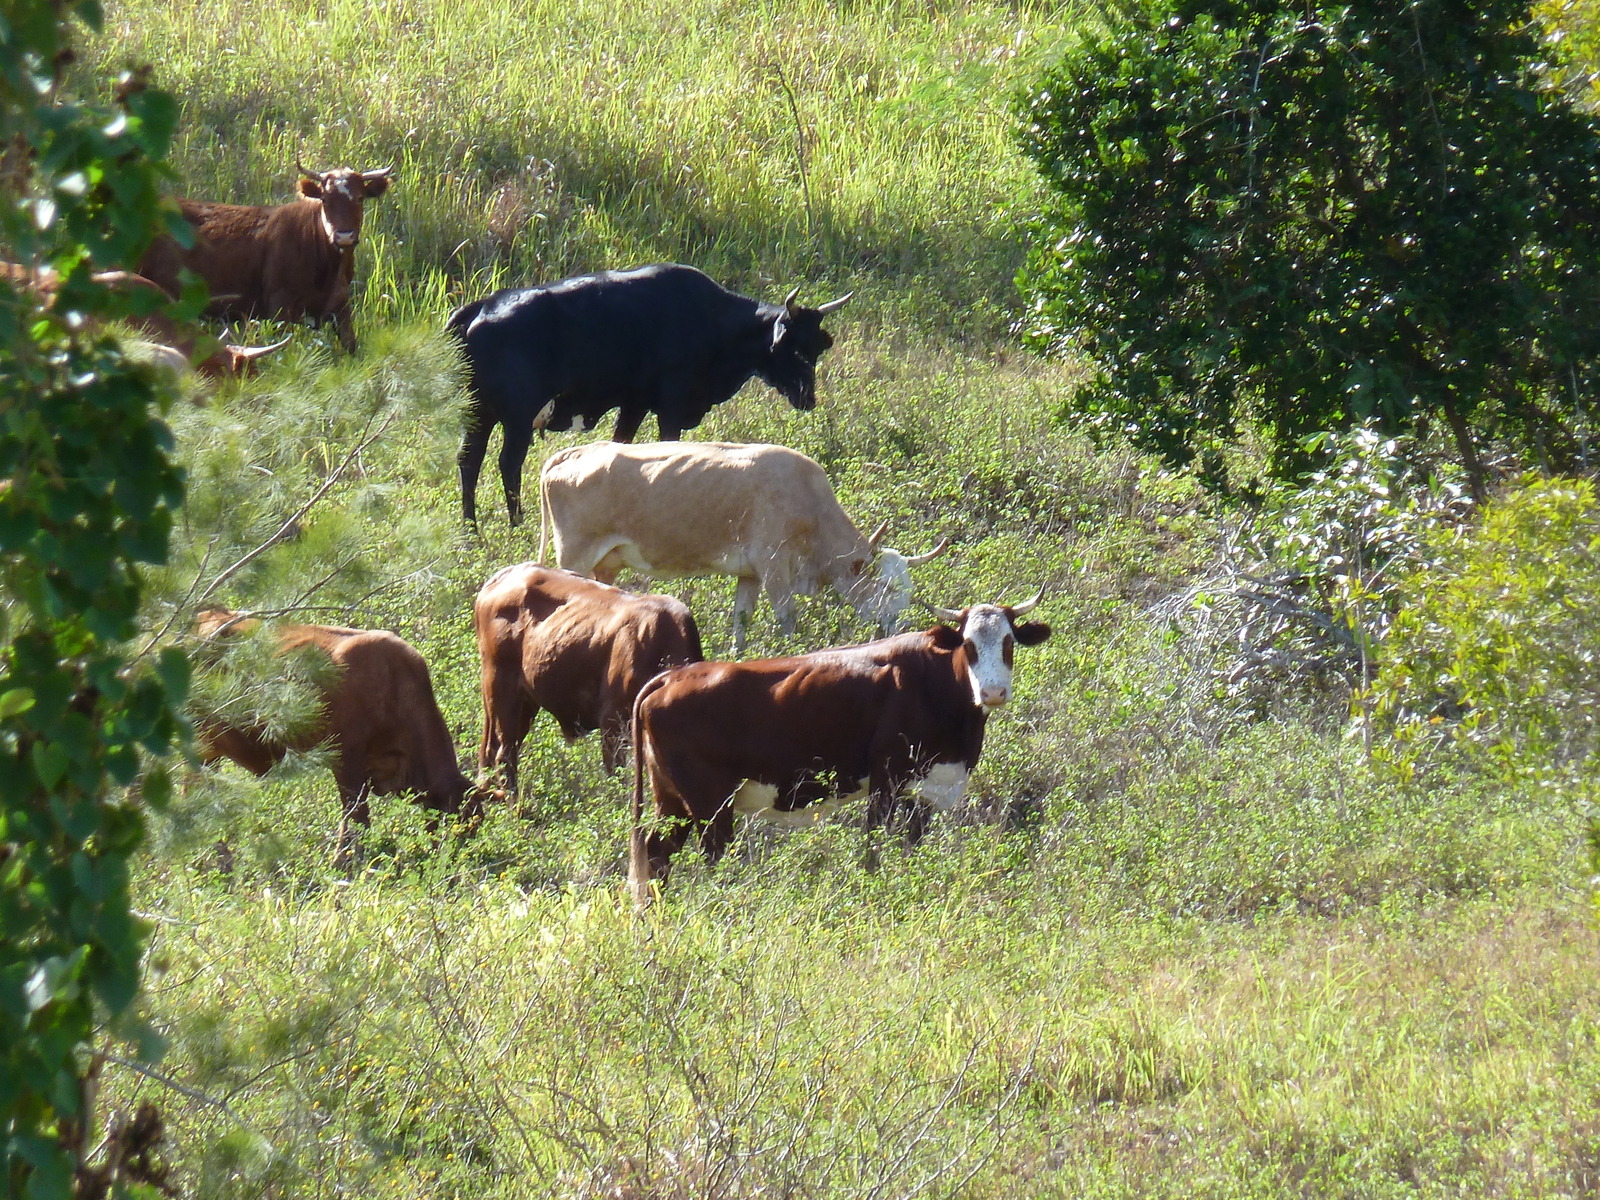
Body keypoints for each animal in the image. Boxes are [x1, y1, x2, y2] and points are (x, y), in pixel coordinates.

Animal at [140, 162, 396, 355]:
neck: (328, 271)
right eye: (324, 200)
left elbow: (351, 347)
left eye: (360, 198)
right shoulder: (280, 307)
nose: (344, 236)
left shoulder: (340, 305)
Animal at [444, 265, 851, 528]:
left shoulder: (634, 405)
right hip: (517, 419)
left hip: (479, 415)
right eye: (793, 347)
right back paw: (516, 523)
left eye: (816, 348)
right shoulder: (670, 407)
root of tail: (481, 307)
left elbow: (619, 448)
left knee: (469, 461)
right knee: (507, 463)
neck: (712, 319)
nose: (808, 397)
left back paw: (470, 529)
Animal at [470, 566, 704, 800]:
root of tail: (502, 576)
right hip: (502, 690)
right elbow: (616, 775)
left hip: (523, 702)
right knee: (504, 755)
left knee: (492, 753)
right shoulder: (613, 721)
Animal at [630, 588, 1056, 908]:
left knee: (657, 853)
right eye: (968, 644)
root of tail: (672, 677)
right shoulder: (887, 779)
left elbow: (912, 847)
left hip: (671, 800)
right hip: (710, 803)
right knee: (713, 855)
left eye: (1008, 642)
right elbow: (874, 846)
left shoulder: (926, 789)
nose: (993, 692)